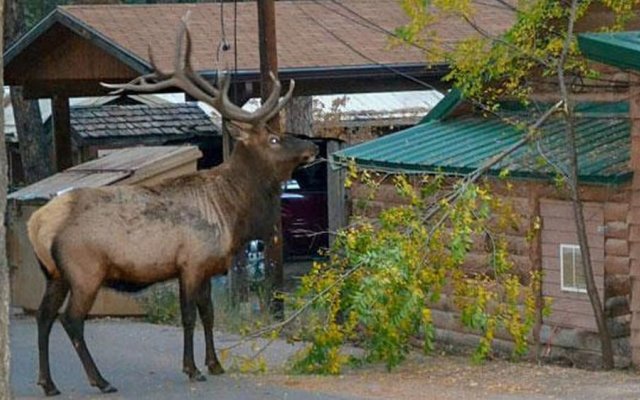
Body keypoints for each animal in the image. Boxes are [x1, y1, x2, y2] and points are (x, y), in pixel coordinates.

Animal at [28, 20, 318, 396]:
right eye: (273, 139)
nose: (313, 147)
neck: (231, 214)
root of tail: (37, 223)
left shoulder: (207, 265)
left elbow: (209, 313)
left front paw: (215, 363)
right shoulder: (190, 262)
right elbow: (189, 316)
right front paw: (192, 368)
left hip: (54, 273)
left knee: (43, 316)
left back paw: (48, 383)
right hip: (84, 269)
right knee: (71, 319)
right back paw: (100, 380)